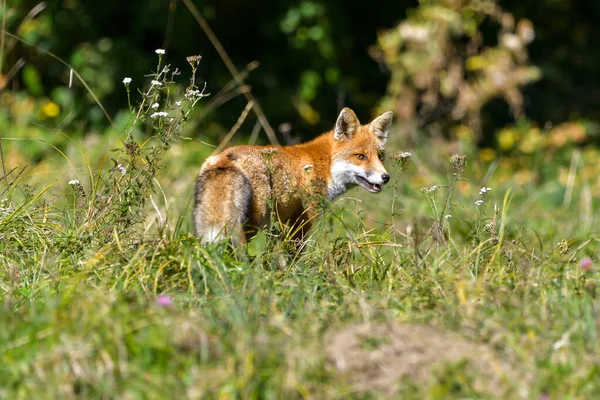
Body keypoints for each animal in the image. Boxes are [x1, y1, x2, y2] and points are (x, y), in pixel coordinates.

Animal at [192, 108, 396, 247]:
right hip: (251, 222)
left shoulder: (283, 224)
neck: (323, 164)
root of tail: (225, 157)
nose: (386, 177)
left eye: (380, 156)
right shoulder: (304, 219)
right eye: (360, 156)